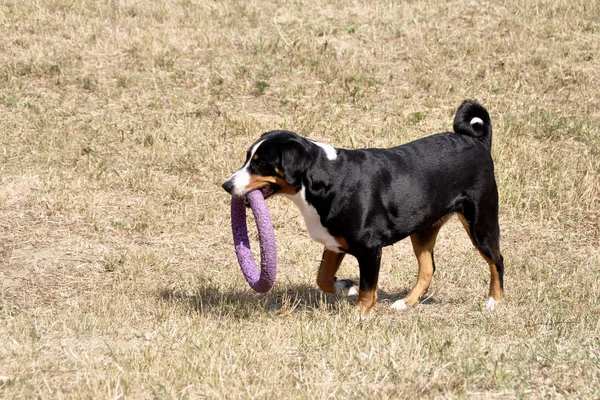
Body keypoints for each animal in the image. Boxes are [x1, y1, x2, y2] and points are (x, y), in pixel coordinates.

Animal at [223, 100, 504, 316]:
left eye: (260, 163)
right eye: (247, 157)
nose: (227, 185)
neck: (327, 180)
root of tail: (476, 141)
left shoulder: (369, 248)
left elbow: (369, 286)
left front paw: (360, 312)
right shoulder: (334, 244)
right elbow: (323, 277)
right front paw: (347, 286)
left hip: (480, 222)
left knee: (496, 260)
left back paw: (494, 301)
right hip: (423, 230)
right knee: (427, 269)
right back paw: (406, 302)